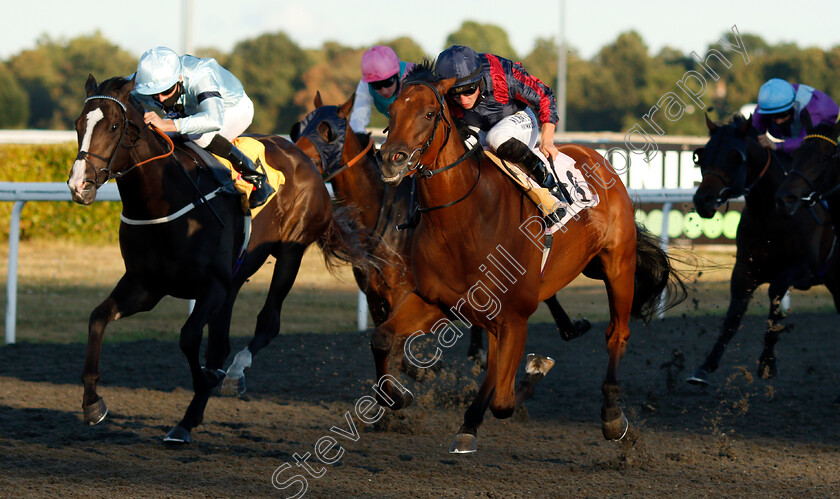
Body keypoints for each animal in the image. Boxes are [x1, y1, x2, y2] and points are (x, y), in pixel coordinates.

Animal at [67, 75, 376, 446]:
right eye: (78, 124)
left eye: (114, 126)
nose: (79, 185)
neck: (162, 201)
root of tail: (304, 157)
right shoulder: (146, 286)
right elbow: (98, 318)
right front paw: (92, 404)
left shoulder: (211, 286)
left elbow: (188, 337)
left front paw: (204, 384)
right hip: (235, 279)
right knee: (220, 342)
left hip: (290, 252)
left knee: (267, 323)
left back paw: (231, 375)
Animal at [292, 94, 588, 368]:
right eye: (297, 129)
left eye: (328, 133)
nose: (299, 160)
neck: (381, 208)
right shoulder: (375, 293)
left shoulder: (404, 288)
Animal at [372, 62, 684, 454]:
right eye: (391, 112)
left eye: (429, 114)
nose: (389, 159)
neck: (465, 220)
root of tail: (599, 158)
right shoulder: (438, 301)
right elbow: (382, 337)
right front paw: (398, 397)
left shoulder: (515, 317)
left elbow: (503, 401)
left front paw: (531, 374)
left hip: (618, 265)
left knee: (617, 333)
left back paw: (612, 415)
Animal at [684, 114, 836, 386]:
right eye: (702, 155)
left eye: (735, 156)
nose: (703, 200)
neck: (771, 215)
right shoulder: (744, 269)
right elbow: (733, 317)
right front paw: (704, 367)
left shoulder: (802, 269)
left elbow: (775, 302)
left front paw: (767, 362)